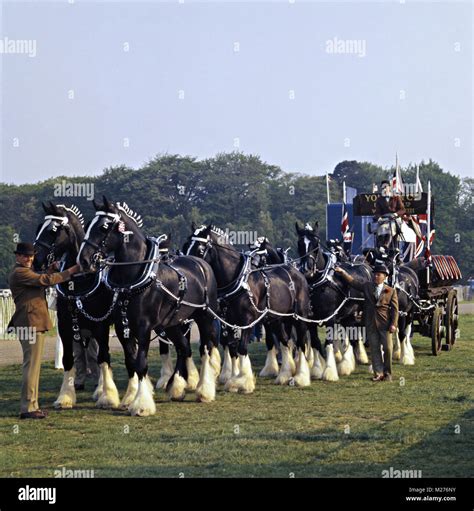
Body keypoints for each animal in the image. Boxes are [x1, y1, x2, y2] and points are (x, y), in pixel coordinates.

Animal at [78, 198, 221, 418]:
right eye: (87, 226)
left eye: (103, 227)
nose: (83, 260)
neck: (132, 280)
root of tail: (201, 263)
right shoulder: (123, 327)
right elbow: (131, 361)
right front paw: (130, 398)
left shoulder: (143, 327)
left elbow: (140, 363)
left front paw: (142, 404)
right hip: (172, 323)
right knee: (184, 347)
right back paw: (176, 387)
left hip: (204, 316)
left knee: (206, 348)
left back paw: (204, 391)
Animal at [183, 224, 312, 388]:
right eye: (186, 245)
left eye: (200, 249)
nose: (188, 268)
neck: (238, 280)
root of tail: (298, 273)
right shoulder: (229, 322)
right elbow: (232, 348)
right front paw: (232, 378)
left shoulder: (247, 321)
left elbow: (242, 348)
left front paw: (244, 381)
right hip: (275, 319)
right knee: (285, 341)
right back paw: (285, 374)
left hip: (299, 317)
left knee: (301, 342)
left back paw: (301, 377)